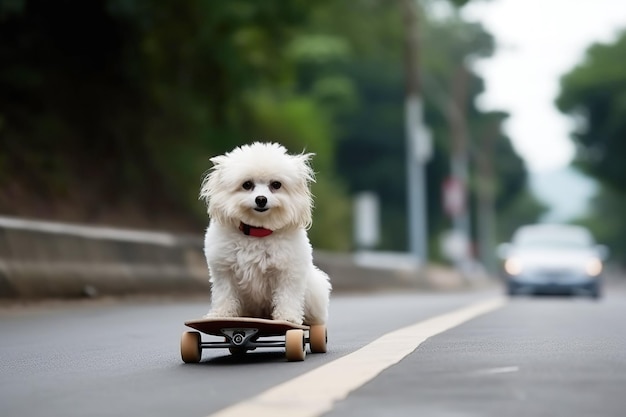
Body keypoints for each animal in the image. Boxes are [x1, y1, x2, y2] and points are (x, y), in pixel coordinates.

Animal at [200, 142, 330, 324]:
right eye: (247, 184)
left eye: (276, 185)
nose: (261, 199)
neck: (257, 231)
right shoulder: (224, 272)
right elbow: (225, 294)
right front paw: (221, 314)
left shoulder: (289, 273)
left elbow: (287, 296)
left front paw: (288, 317)